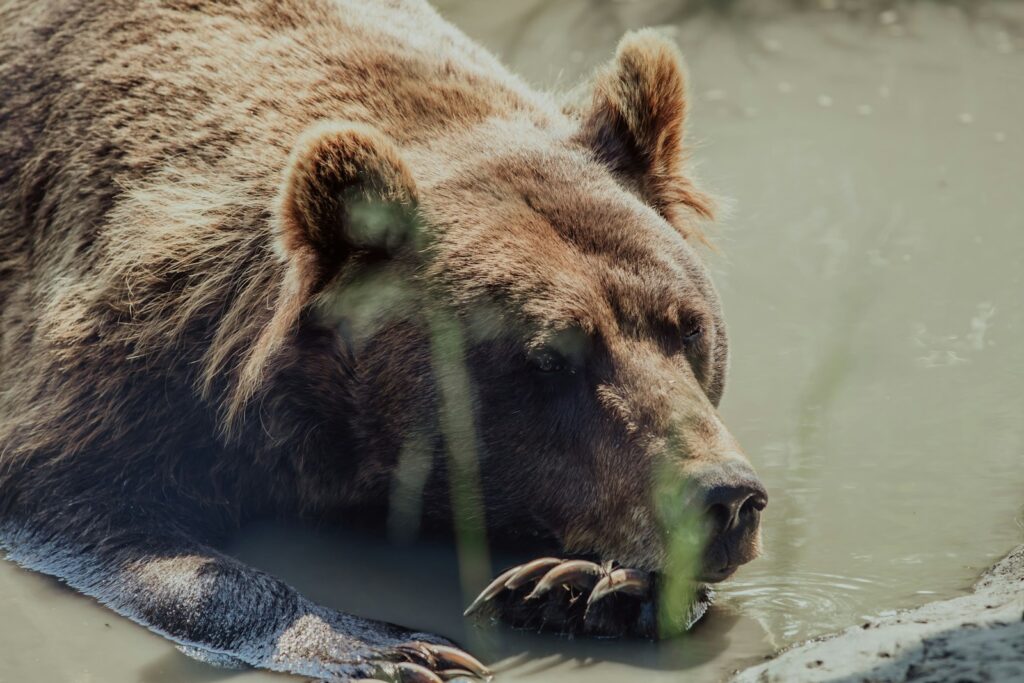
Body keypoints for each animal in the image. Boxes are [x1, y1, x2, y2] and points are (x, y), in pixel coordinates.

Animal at [0, 0, 767, 681]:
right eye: (553, 355)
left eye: (688, 325)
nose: (726, 496)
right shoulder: (125, 359)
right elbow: (72, 497)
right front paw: (388, 645)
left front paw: (582, 584)